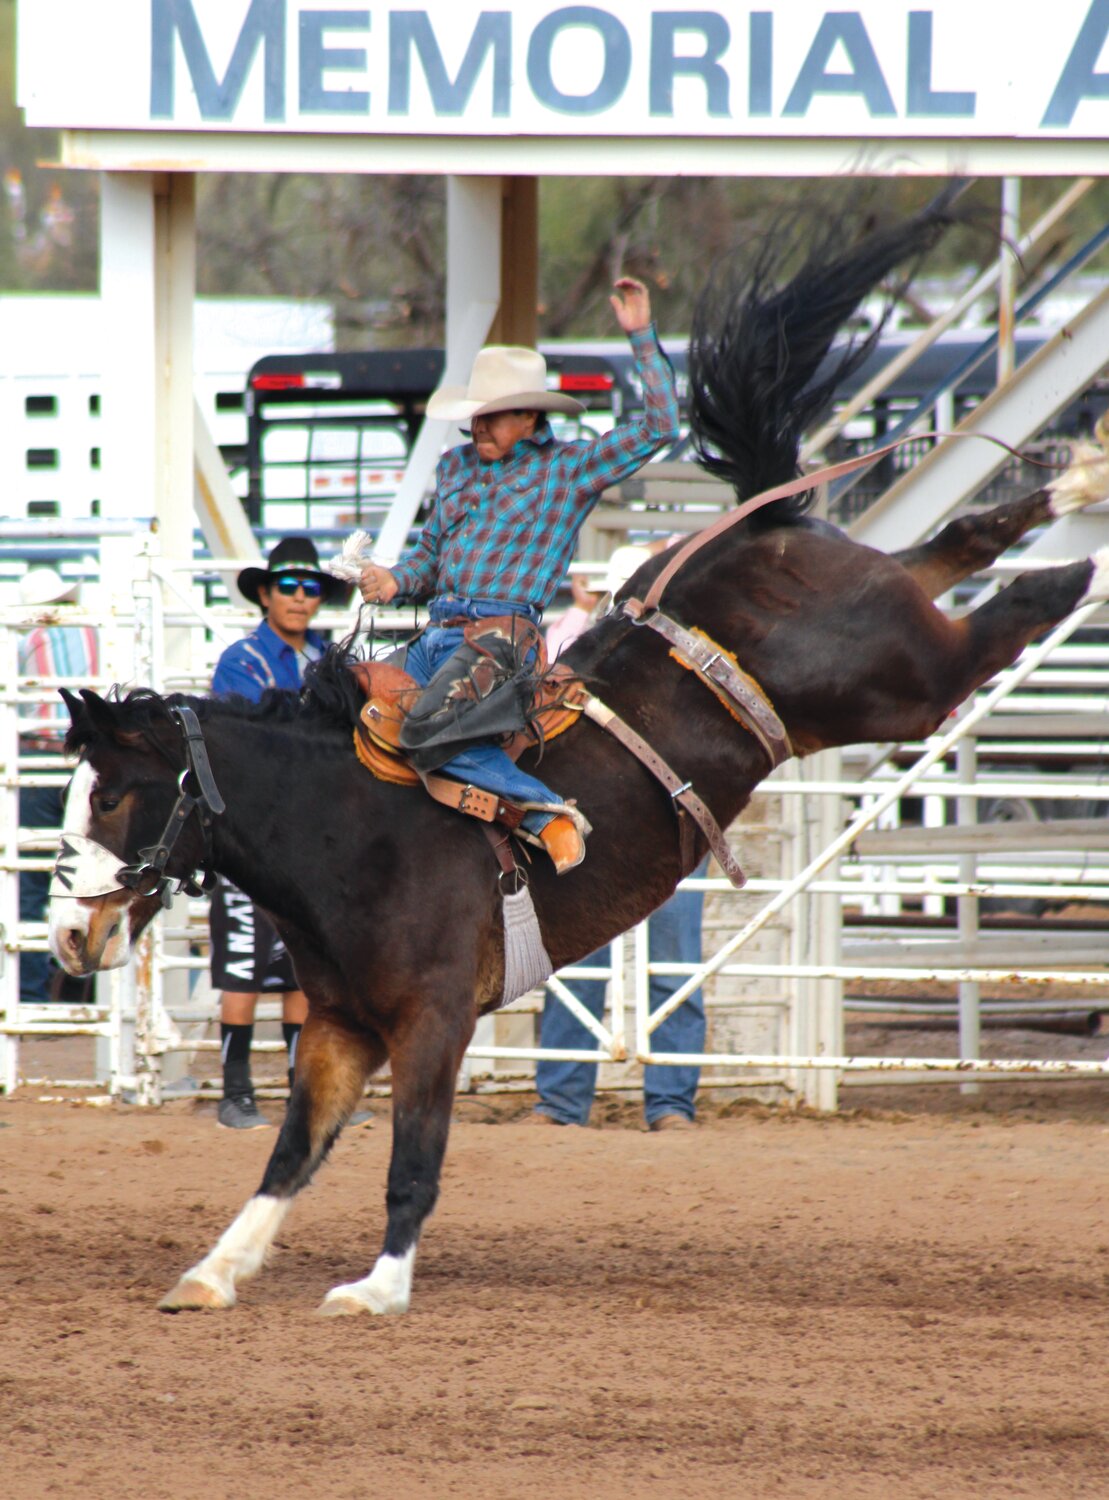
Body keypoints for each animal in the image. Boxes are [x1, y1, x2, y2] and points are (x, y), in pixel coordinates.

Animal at [45, 202, 1109, 1314]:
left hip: (899, 679)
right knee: (959, 541)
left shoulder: (432, 1021)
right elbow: (292, 1154)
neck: (345, 829)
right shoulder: (338, 1029)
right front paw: (216, 1270)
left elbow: (411, 1159)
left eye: (111, 797)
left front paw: (378, 1286)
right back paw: (1072, 481)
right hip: (880, 623)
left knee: (1000, 611)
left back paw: (1087, 539)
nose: (68, 940)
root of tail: (758, 530)